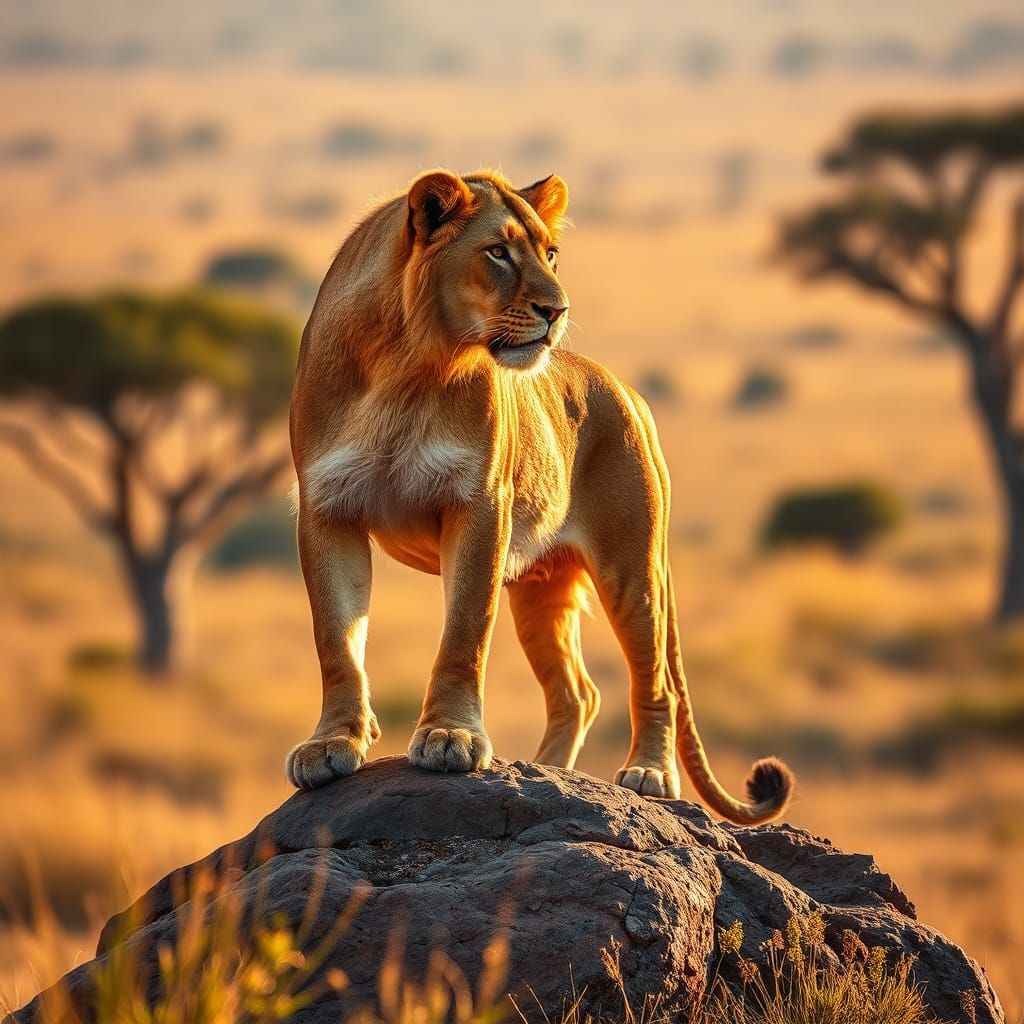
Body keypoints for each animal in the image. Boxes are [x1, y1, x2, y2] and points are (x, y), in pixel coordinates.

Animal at [286, 168, 793, 824]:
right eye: (497, 253)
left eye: (551, 254)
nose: (558, 310)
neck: (406, 361)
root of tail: (629, 391)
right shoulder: (328, 510)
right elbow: (336, 639)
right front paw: (332, 743)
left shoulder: (479, 504)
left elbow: (465, 632)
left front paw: (450, 737)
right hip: (539, 586)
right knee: (579, 693)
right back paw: (549, 771)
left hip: (633, 568)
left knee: (653, 678)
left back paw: (649, 775)